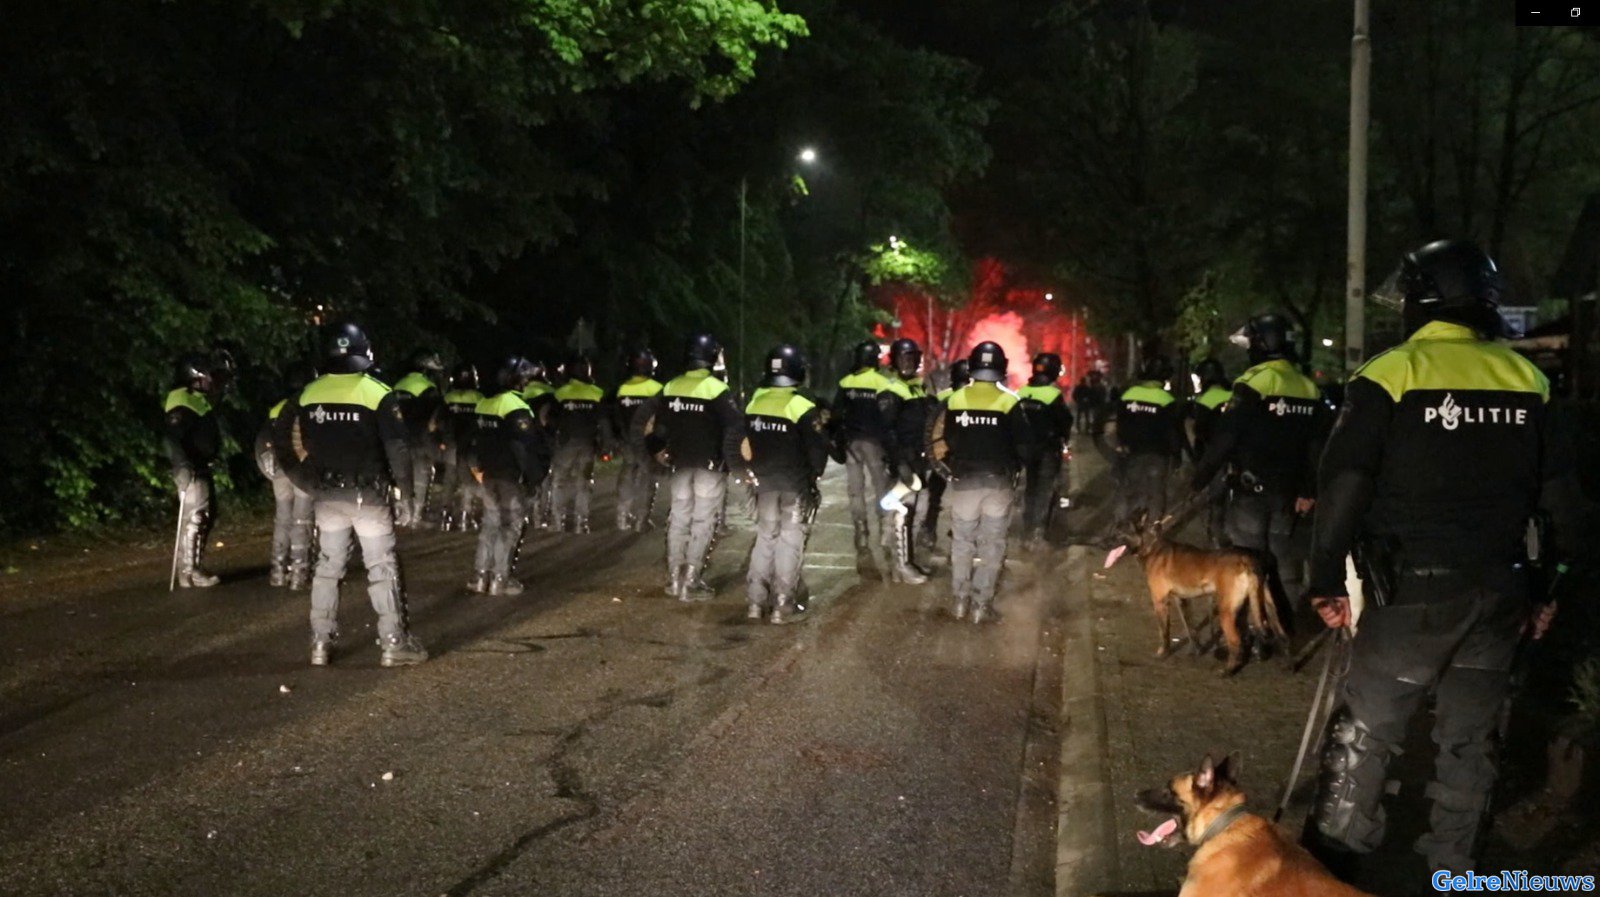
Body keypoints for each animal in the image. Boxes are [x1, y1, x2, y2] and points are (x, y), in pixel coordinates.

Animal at [1120, 511, 1292, 671]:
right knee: (1282, 635)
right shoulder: (1182, 600)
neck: (1152, 545)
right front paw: (1197, 651)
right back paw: (1289, 666)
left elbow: (1164, 632)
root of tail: (1246, 559)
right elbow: (1191, 629)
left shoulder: (1160, 601)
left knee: (1235, 641)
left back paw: (1228, 671)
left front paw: (1163, 653)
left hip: (1226, 611)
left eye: (1120, 532)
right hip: (1266, 608)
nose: (1109, 541)